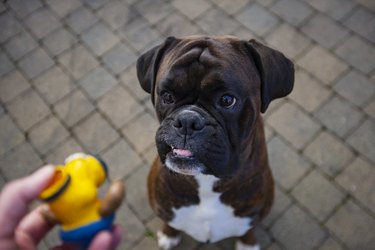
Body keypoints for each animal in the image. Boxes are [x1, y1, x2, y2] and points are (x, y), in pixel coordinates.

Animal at [137, 35, 296, 250]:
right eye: (167, 96)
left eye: (227, 100)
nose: (187, 120)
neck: (207, 181)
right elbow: (169, 222)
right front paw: (169, 234)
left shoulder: (252, 216)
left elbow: (248, 231)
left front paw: (247, 244)